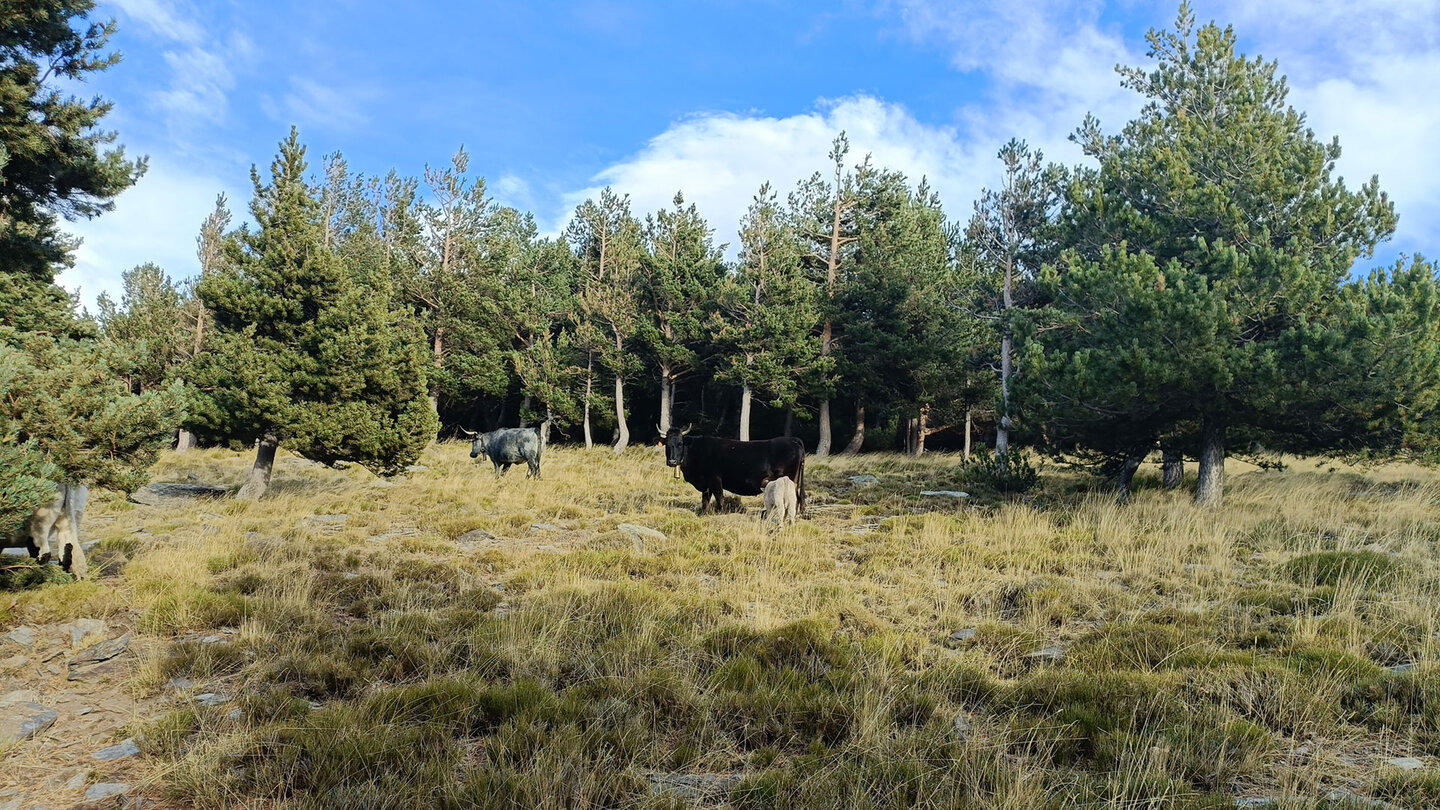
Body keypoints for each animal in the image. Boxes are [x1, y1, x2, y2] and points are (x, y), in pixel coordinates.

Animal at [665, 426, 812, 513]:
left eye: (680, 444)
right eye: (667, 444)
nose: (672, 461)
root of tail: (793, 440)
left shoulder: (714, 479)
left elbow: (720, 497)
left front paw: (721, 513)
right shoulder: (706, 483)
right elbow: (705, 500)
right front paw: (703, 513)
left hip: (789, 480)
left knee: (795, 498)